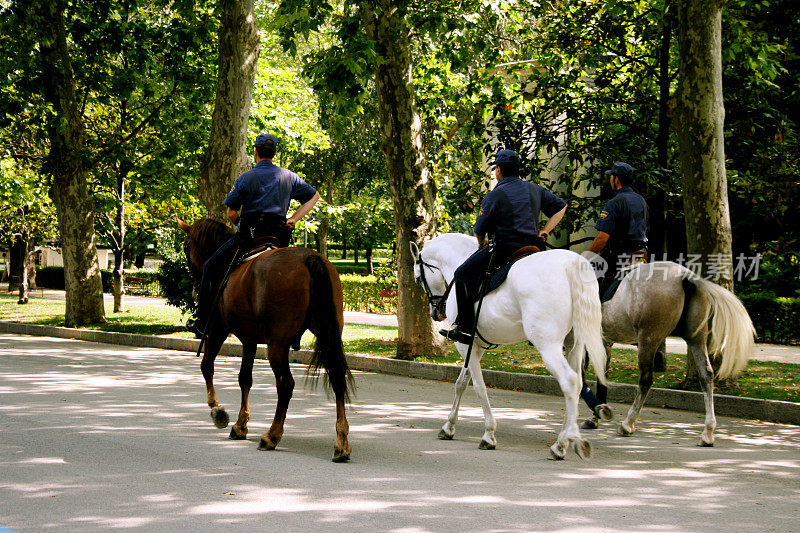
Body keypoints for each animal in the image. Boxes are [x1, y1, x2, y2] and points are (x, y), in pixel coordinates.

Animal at [177, 217, 352, 462]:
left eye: (186, 246)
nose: (194, 280)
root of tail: (310, 258)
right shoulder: (249, 340)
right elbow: (245, 379)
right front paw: (240, 425)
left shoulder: (217, 329)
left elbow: (207, 366)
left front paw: (217, 410)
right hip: (328, 334)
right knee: (337, 377)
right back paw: (341, 442)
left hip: (277, 344)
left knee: (286, 384)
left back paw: (272, 435)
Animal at [410, 231, 608, 460]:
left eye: (418, 278)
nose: (436, 313)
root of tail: (572, 264)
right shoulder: (475, 346)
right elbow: (461, 383)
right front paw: (449, 427)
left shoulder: (465, 345)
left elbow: (479, 387)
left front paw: (488, 434)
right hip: (574, 346)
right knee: (577, 386)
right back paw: (566, 440)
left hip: (548, 345)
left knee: (569, 381)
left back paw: (562, 444)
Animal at [580, 260, 752, 444]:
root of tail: (684, 275)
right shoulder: (603, 343)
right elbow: (600, 378)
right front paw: (597, 413)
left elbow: (585, 377)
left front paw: (597, 411)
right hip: (696, 338)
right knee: (706, 375)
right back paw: (708, 432)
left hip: (648, 338)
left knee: (646, 379)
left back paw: (628, 424)